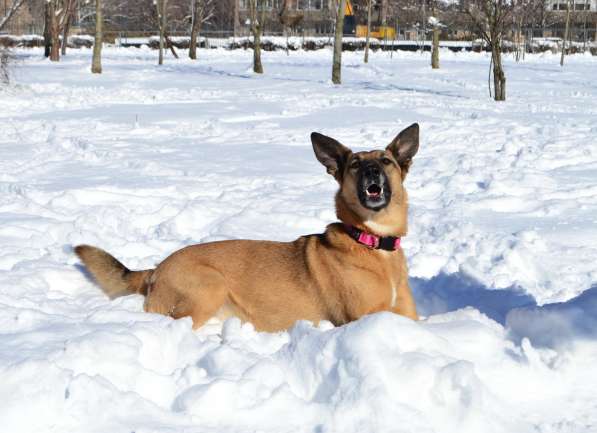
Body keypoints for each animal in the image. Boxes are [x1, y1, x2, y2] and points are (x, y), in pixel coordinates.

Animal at [74, 122, 420, 330]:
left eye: (386, 161)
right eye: (355, 165)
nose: (373, 171)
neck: (371, 241)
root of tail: (156, 269)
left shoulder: (408, 314)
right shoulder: (365, 317)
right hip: (210, 284)